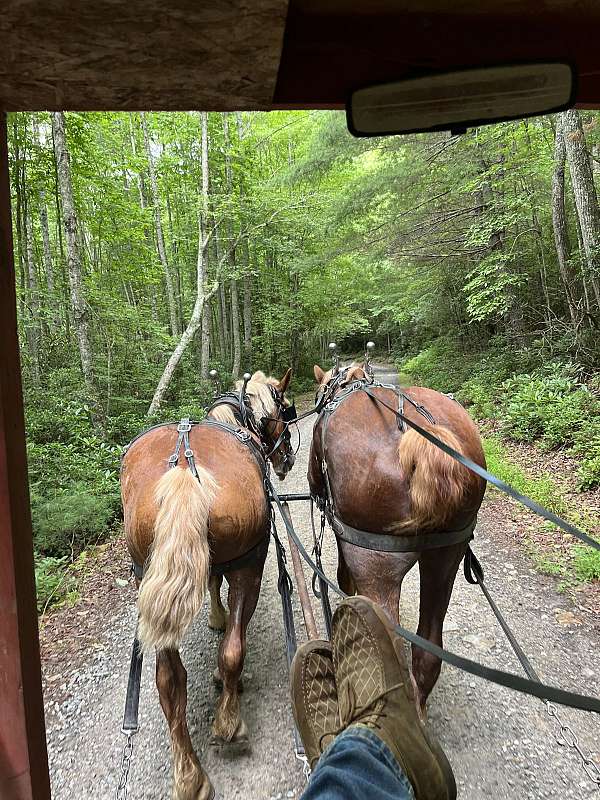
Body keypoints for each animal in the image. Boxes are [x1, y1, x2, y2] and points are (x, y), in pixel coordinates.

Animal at [120, 370, 294, 800]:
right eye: (284, 408)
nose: (286, 460)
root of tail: (184, 468)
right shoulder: (241, 560)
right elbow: (224, 611)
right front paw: (219, 622)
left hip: (145, 575)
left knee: (168, 680)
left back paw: (189, 775)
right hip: (251, 562)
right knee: (233, 650)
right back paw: (229, 724)